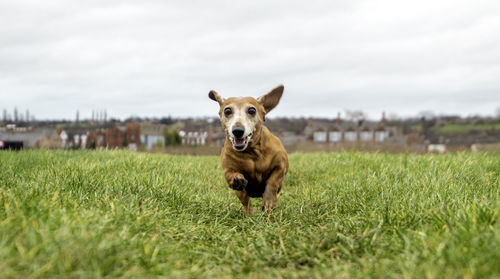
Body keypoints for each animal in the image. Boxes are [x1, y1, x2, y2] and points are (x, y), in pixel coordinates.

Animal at [208, 85, 290, 217]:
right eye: (227, 111)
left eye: (252, 110)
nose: (237, 130)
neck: (252, 153)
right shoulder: (228, 170)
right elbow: (233, 179)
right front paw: (237, 179)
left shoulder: (280, 167)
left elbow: (272, 182)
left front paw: (268, 203)